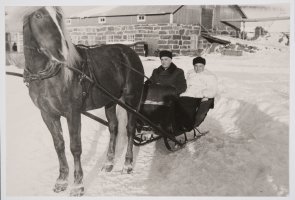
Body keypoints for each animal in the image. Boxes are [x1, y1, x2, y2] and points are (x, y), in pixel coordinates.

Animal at [22, 6, 145, 195]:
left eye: (58, 16)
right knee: (113, 127)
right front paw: (61, 180)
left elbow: (75, 147)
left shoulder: (72, 113)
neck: (49, 76)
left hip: (132, 99)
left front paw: (78, 184)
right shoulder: (48, 114)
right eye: (38, 15)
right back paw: (109, 162)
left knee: (130, 129)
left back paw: (127, 164)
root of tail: (129, 52)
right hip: (110, 101)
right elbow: (59, 145)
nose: (61, 51)